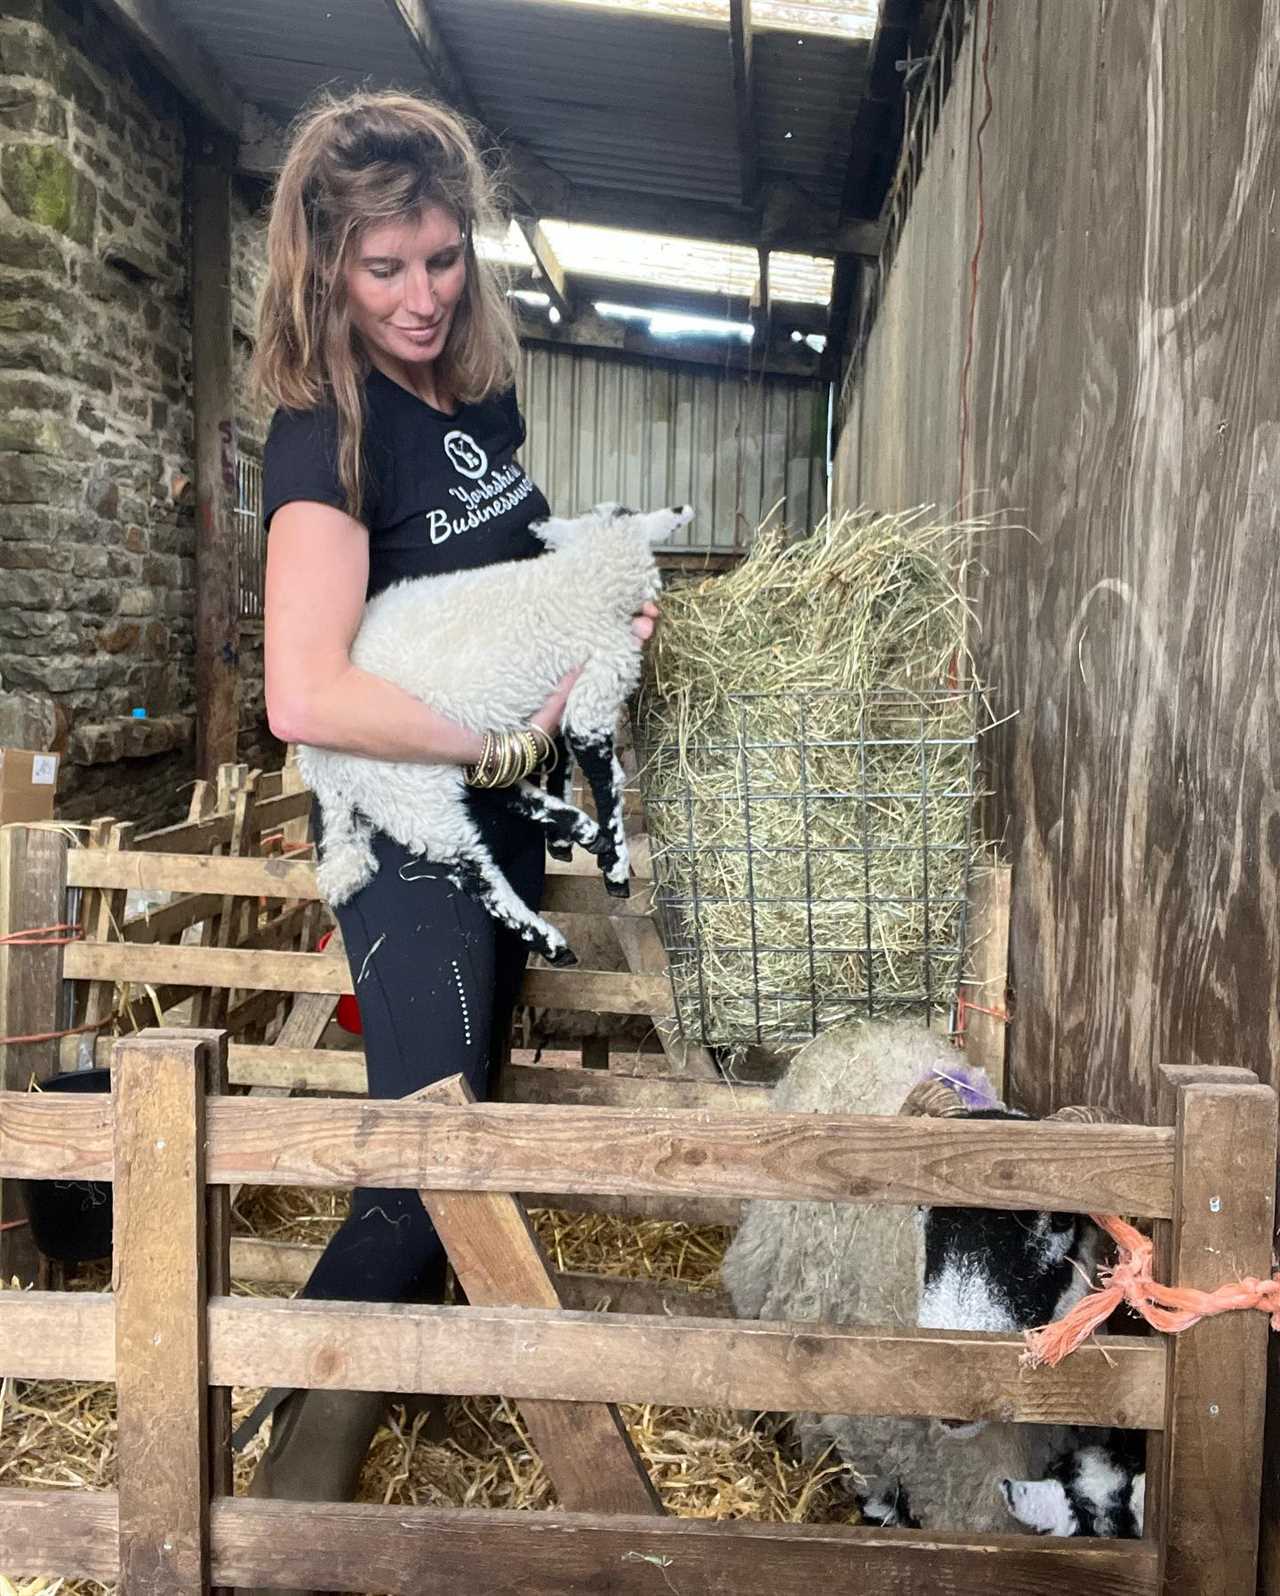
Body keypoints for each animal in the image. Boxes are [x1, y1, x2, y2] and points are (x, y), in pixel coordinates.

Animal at [295, 504, 692, 963]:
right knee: (469, 868)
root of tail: (319, 767)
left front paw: (564, 842)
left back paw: (575, 827)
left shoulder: (562, 696)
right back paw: (551, 937)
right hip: (409, 790)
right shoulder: (597, 686)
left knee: (495, 790)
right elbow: (606, 780)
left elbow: (561, 760)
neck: (581, 575)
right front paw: (616, 869)